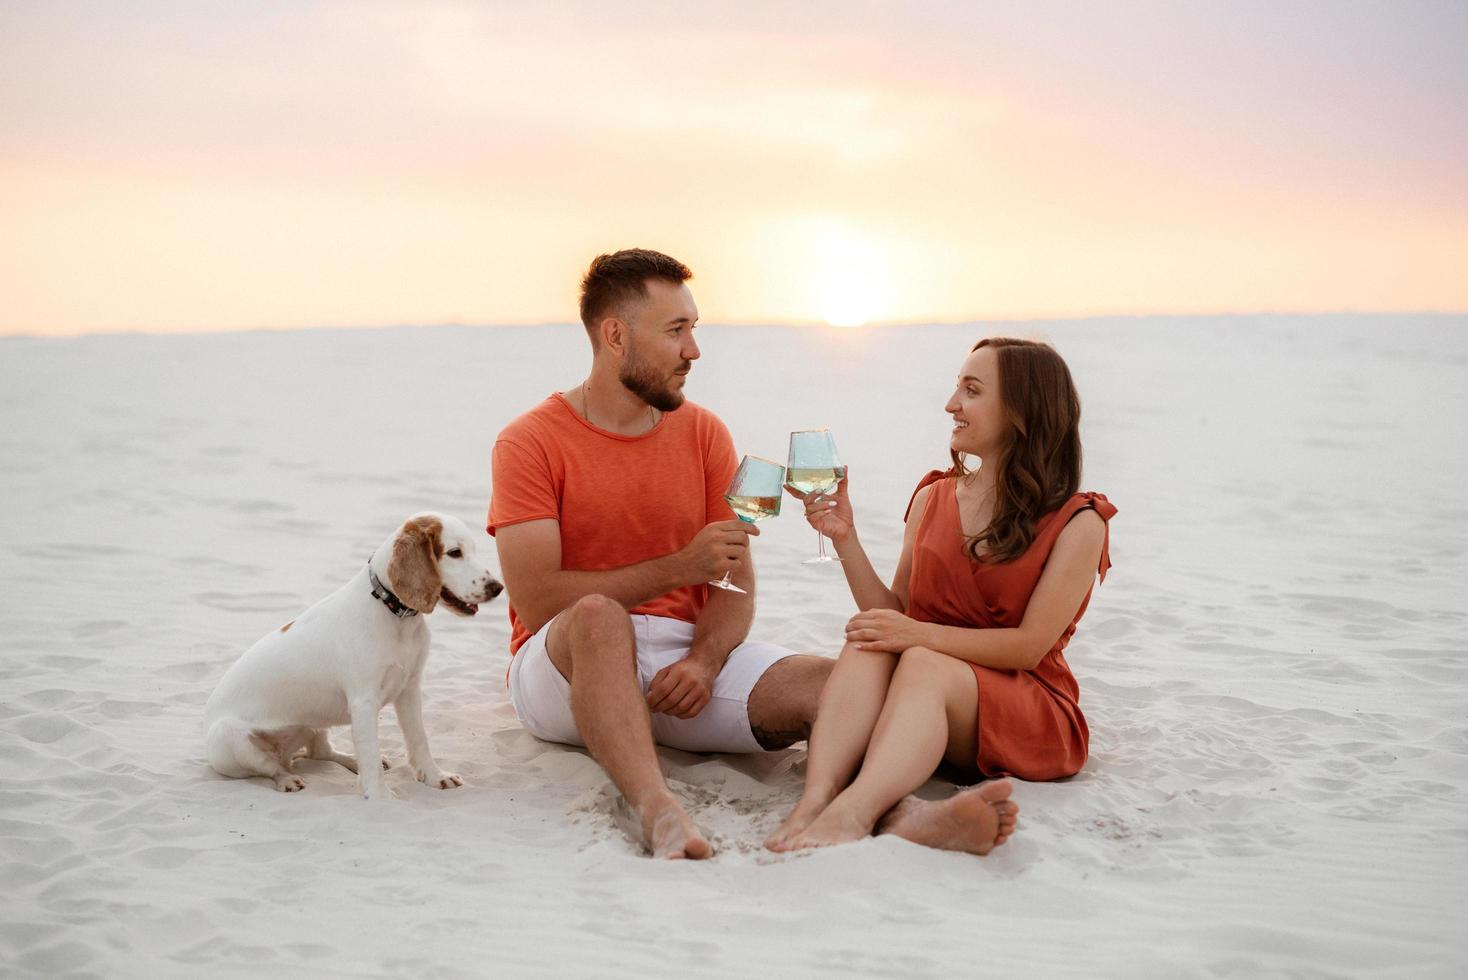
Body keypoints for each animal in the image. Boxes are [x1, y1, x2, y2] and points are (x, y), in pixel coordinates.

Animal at [204, 513, 504, 798]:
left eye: (473, 549)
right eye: (454, 552)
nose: (497, 588)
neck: (396, 617)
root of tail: (287, 754)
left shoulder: (409, 690)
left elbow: (419, 739)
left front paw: (434, 776)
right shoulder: (364, 702)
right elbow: (370, 751)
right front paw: (380, 797)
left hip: (313, 724)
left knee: (320, 752)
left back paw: (347, 761)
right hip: (229, 739)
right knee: (272, 767)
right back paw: (287, 779)